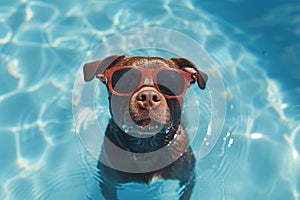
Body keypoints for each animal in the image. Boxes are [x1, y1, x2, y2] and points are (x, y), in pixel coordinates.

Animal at [83, 55, 207, 200]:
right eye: (127, 82)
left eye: (169, 84)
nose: (148, 96)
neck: (146, 147)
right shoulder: (107, 182)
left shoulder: (188, 178)